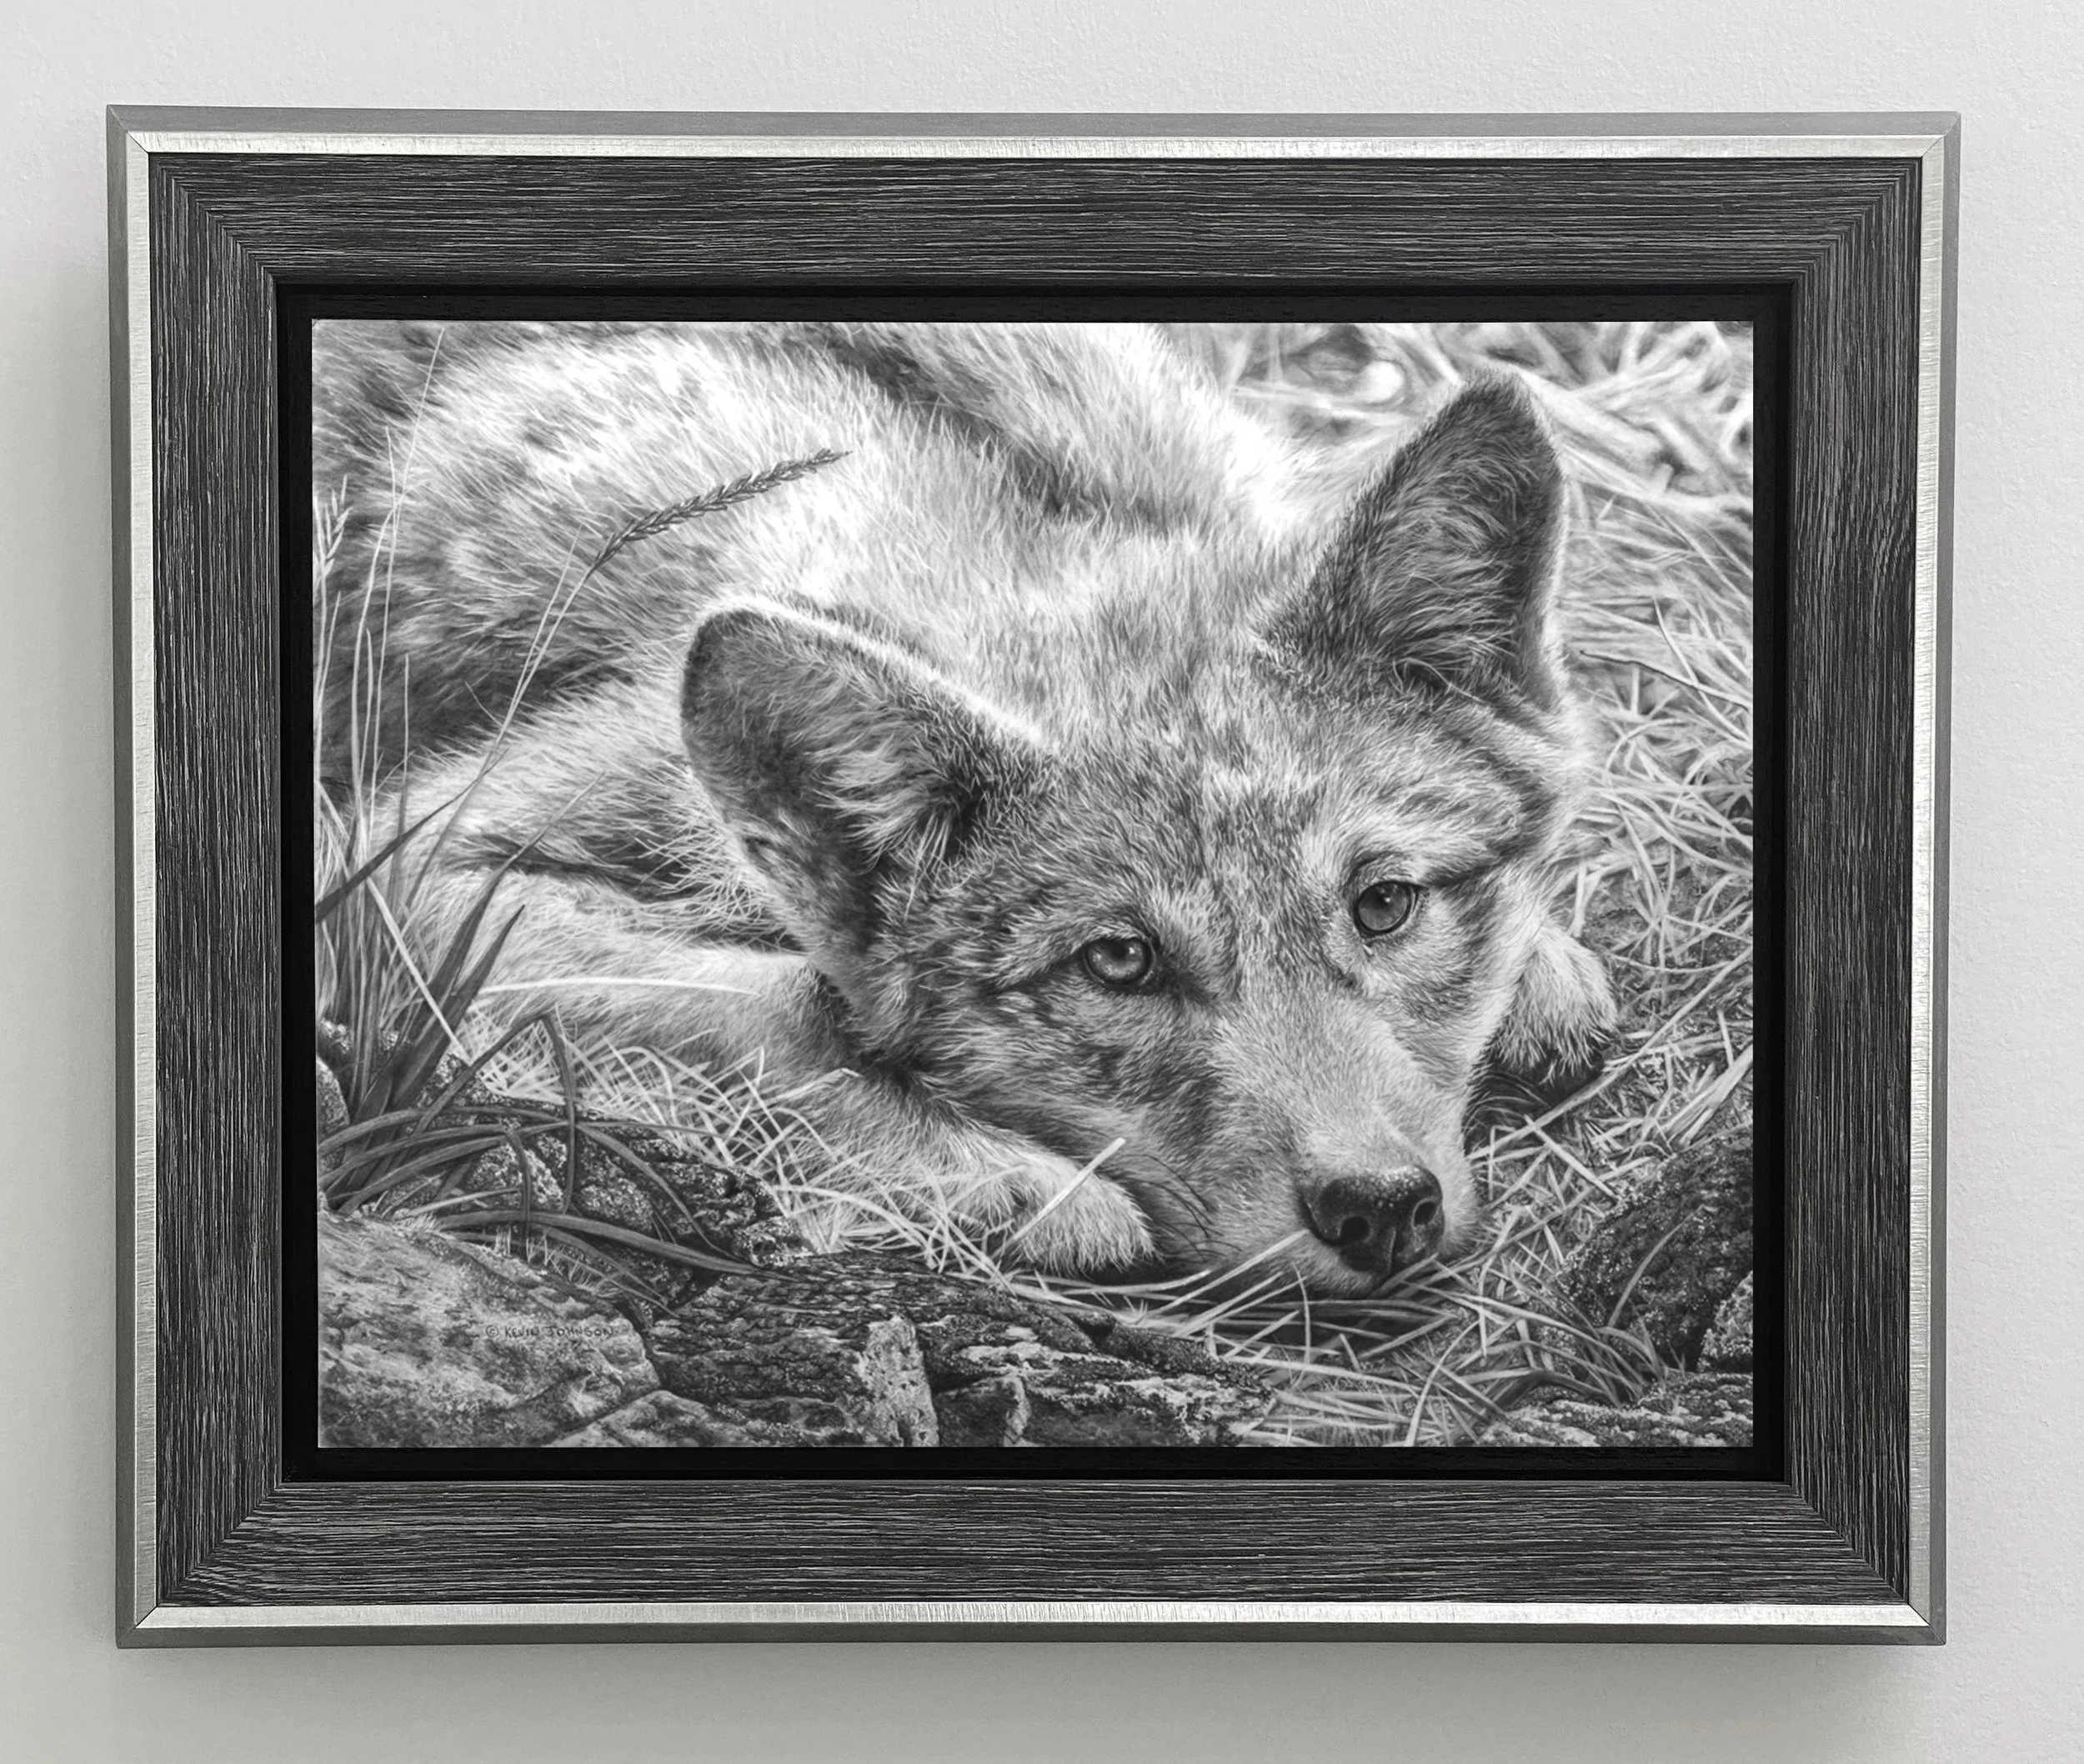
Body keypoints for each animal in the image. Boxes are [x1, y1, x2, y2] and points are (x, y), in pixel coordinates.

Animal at [314, 319, 1616, 1295]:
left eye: (1384, 904)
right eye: (1119, 963)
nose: (1380, 1209)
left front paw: (1545, 971)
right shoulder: (398, 860)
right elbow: (775, 1003)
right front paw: (1017, 1179)